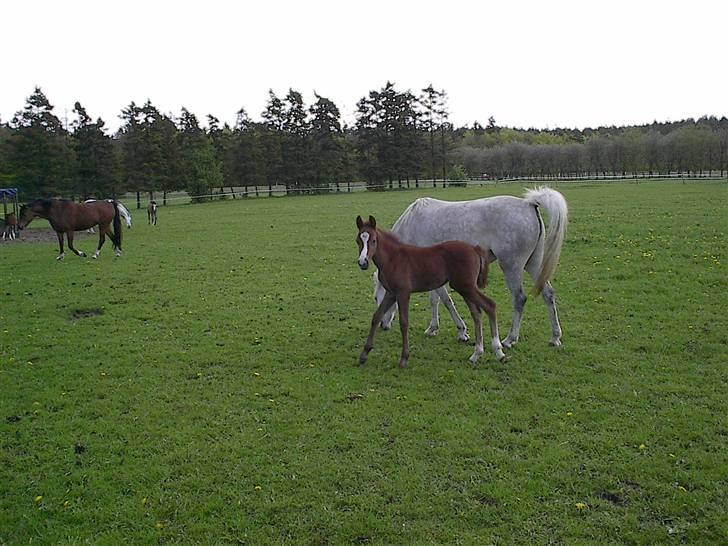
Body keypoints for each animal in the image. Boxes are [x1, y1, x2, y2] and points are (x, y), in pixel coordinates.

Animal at [354, 215, 506, 368]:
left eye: (373, 240)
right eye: (358, 240)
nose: (363, 262)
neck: (393, 258)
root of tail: (474, 249)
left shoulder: (403, 293)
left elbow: (404, 323)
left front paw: (404, 358)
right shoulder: (391, 293)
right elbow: (376, 316)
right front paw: (364, 354)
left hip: (466, 287)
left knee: (490, 305)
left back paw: (499, 352)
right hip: (465, 288)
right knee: (477, 313)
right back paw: (476, 354)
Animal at [376, 185, 568, 346]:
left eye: (377, 298)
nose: (383, 326)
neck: (412, 224)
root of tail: (529, 204)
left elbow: (446, 300)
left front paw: (461, 331)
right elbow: (435, 300)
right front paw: (433, 328)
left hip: (511, 267)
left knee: (519, 298)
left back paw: (510, 339)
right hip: (533, 264)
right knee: (548, 294)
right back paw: (555, 337)